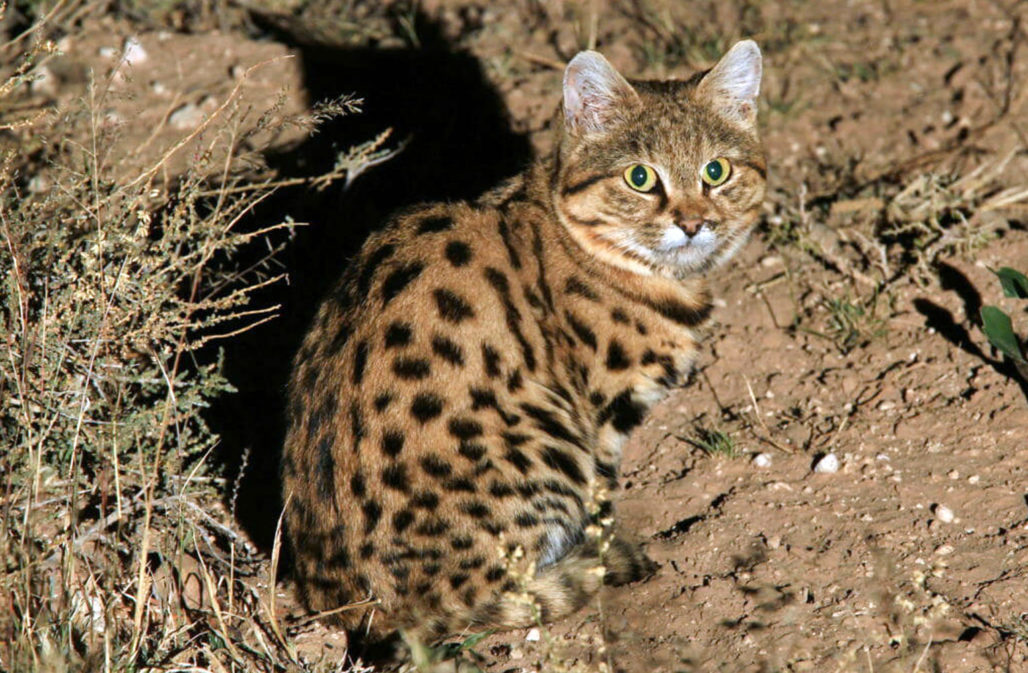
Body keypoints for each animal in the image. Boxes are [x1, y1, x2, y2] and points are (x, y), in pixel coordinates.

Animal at [281, 39, 764, 645]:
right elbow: (602, 510)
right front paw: (609, 554)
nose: (694, 224)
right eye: (639, 177)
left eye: (716, 171)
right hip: (543, 437)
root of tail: (343, 605)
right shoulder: (600, 420)